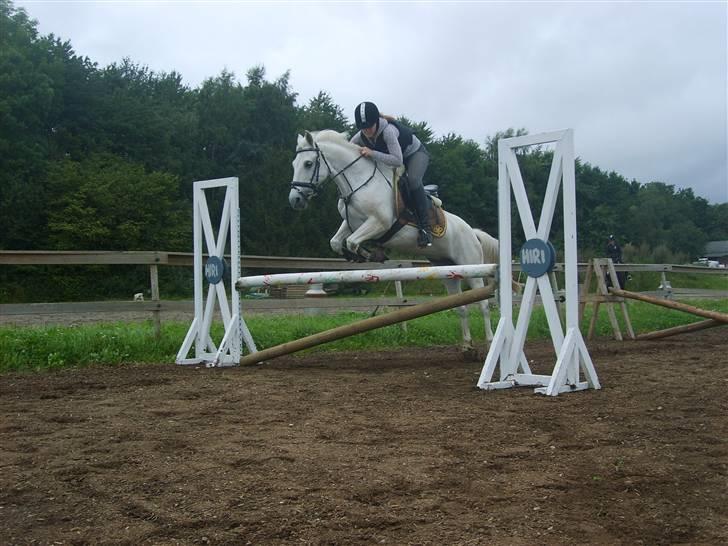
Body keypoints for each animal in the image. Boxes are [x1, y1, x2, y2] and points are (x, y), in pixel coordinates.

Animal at [288, 130, 500, 350]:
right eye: (294, 164)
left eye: (308, 164)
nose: (295, 200)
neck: (359, 182)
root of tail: (472, 232)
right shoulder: (350, 223)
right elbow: (337, 242)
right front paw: (359, 256)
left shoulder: (378, 223)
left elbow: (352, 242)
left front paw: (370, 254)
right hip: (448, 270)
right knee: (461, 305)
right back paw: (466, 344)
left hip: (472, 266)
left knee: (483, 304)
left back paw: (490, 341)